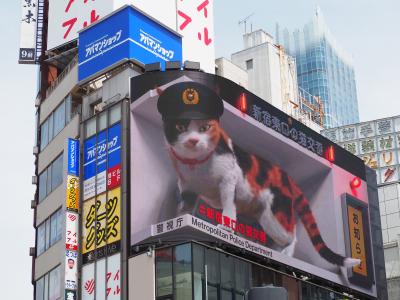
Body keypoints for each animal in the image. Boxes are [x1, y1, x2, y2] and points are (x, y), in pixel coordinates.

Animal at [157, 82, 362, 272]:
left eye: (205, 127)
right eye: (180, 126)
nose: (193, 140)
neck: (197, 165)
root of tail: (286, 176)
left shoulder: (229, 177)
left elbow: (228, 206)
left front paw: (225, 228)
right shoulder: (187, 189)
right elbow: (184, 209)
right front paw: (178, 220)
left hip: (274, 215)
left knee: (292, 235)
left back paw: (286, 254)